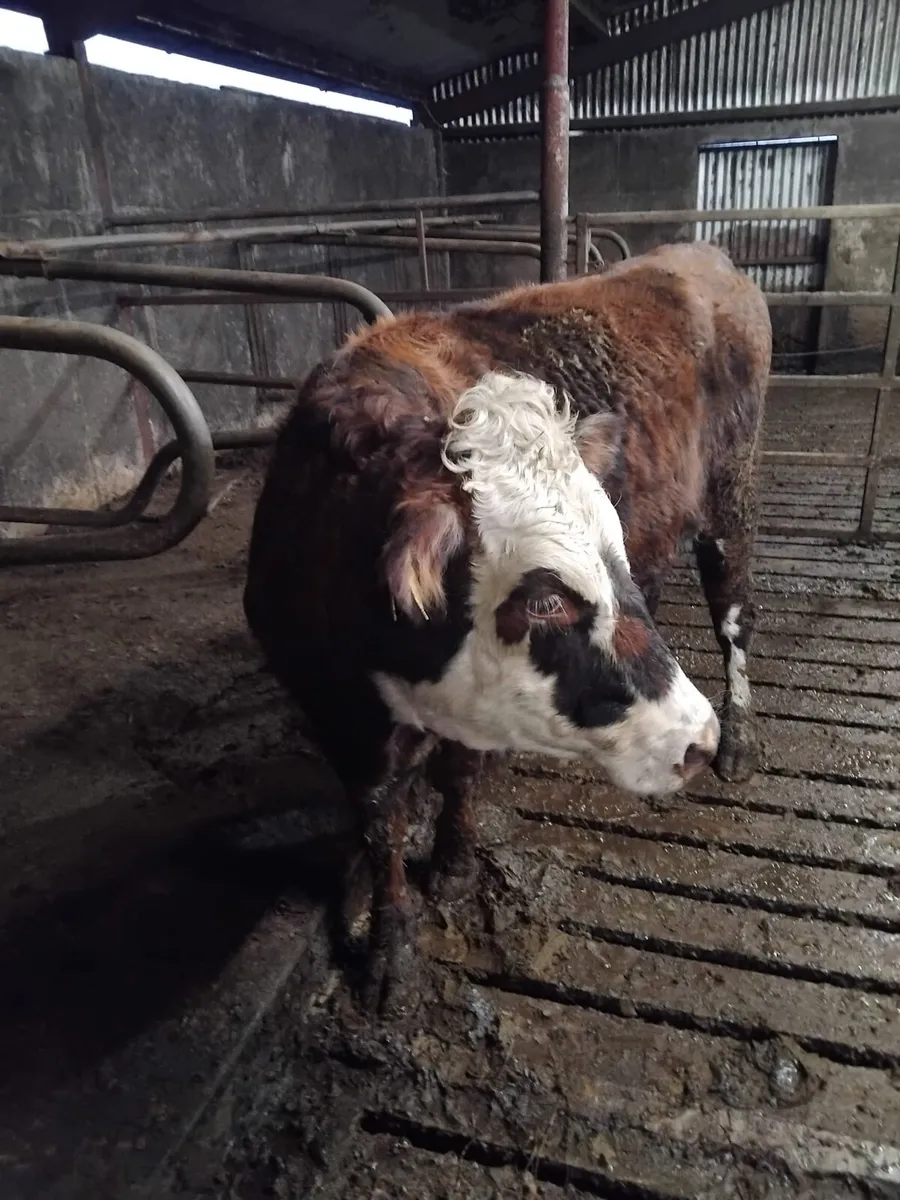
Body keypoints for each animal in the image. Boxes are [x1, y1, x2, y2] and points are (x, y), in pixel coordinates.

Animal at [243, 241, 771, 1013]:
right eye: (546, 600)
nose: (693, 740)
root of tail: (701, 252)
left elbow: (457, 778)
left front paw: (453, 865)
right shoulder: (339, 719)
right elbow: (380, 825)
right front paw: (389, 944)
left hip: (730, 497)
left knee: (734, 615)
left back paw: (740, 737)